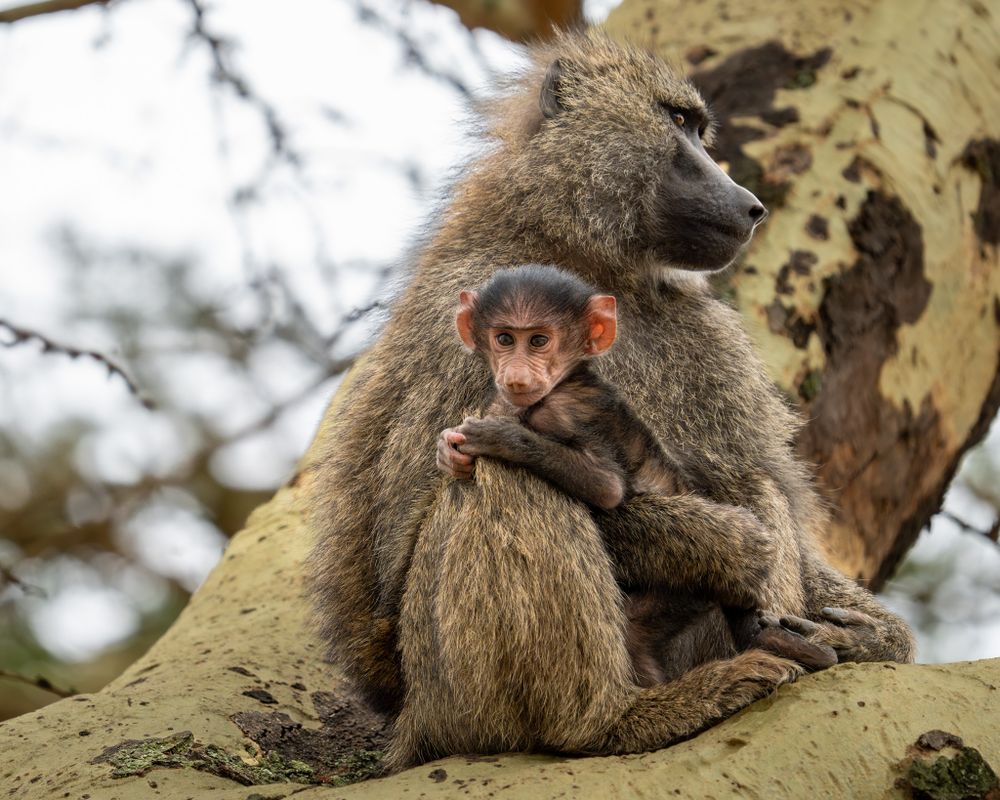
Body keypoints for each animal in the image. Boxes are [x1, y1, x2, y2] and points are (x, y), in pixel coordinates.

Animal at [436, 264, 838, 685]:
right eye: (504, 339)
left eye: (539, 341)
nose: (515, 376)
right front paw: (449, 452)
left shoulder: (566, 410)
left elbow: (608, 488)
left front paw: (499, 438)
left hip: (689, 584)